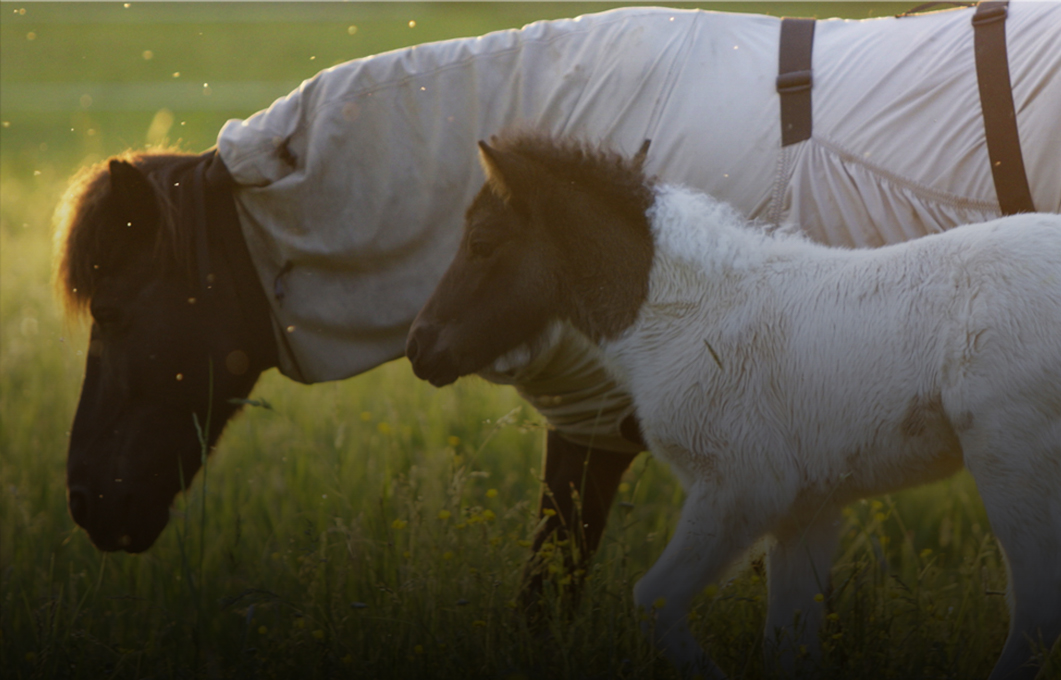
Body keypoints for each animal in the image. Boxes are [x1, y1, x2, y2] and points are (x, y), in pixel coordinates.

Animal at [405, 129, 1061, 674]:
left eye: (482, 243)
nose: (420, 347)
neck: (690, 312)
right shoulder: (807, 506)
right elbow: (788, 643)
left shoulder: (742, 485)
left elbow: (654, 599)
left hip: (1012, 459)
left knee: (1036, 614)